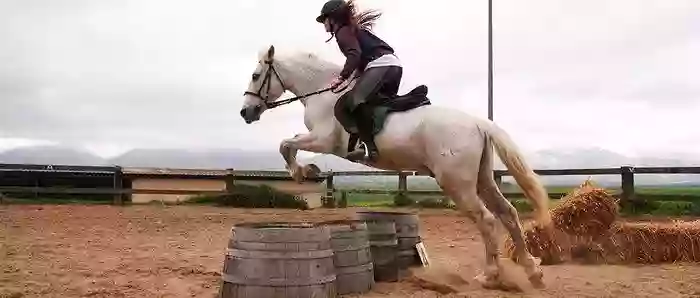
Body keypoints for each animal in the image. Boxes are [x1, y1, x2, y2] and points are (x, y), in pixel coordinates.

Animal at [239, 45, 552, 290]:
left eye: (255, 76)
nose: (245, 112)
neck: (323, 92)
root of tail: (478, 123)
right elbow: (288, 144)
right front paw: (308, 171)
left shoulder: (323, 140)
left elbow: (286, 145)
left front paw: (302, 172)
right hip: (482, 179)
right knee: (508, 214)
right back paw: (533, 272)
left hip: (457, 183)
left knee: (486, 220)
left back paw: (490, 276)